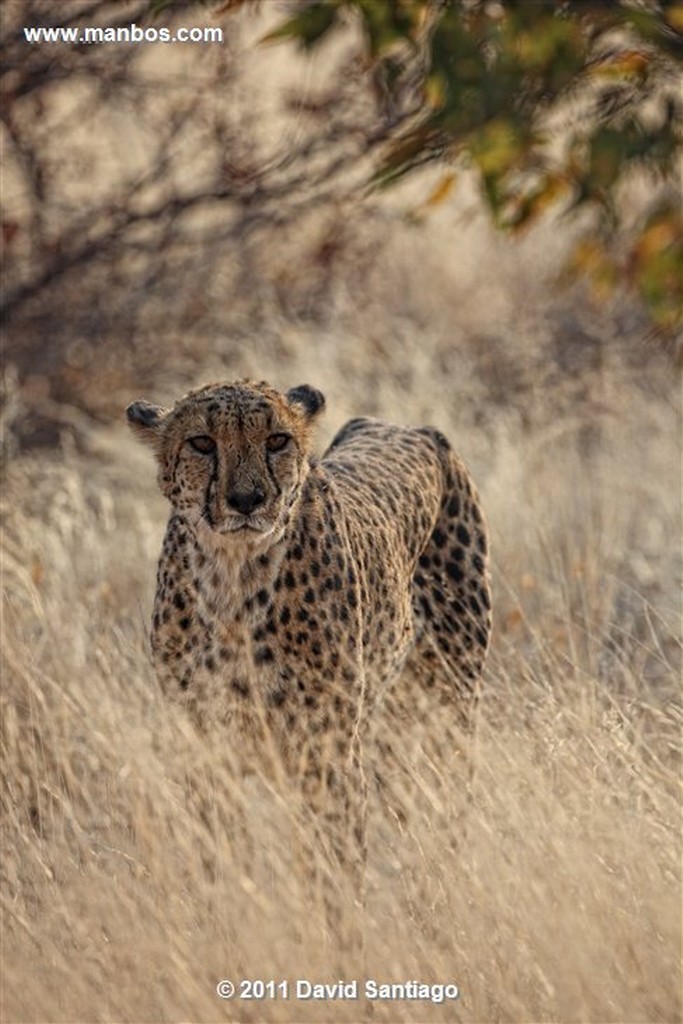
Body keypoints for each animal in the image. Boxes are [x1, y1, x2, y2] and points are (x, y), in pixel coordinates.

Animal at [126, 380, 491, 884]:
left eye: (277, 440)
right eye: (201, 443)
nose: (247, 499)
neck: (233, 580)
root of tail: (407, 427)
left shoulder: (328, 756)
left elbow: (334, 872)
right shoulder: (206, 748)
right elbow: (217, 855)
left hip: (449, 699)